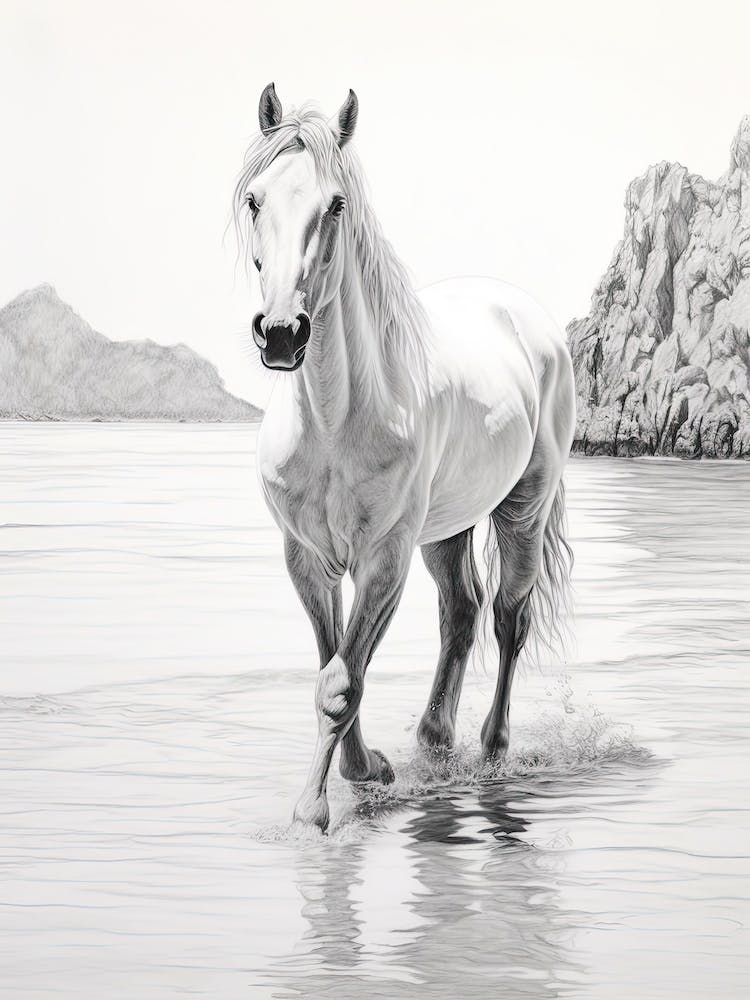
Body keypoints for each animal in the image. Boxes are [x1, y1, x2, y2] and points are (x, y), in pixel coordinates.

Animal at [233, 84, 575, 832]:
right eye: (254, 200)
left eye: (336, 204)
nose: (282, 333)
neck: (335, 422)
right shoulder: (307, 557)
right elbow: (335, 659)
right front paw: (371, 771)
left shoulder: (383, 558)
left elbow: (341, 681)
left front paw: (316, 809)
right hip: (447, 529)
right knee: (462, 613)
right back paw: (434, 742)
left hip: (522, 509)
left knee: (508, 617)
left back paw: (492, 751)